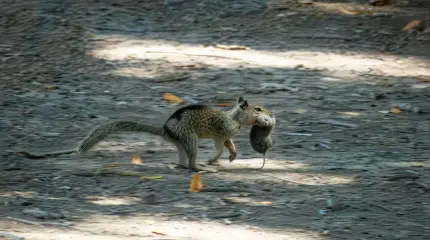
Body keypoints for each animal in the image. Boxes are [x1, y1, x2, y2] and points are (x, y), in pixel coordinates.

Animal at [16, 96, 274, 172]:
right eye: (258, 109)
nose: (271, 113)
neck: (235, 118)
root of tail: (165, 129)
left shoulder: (228, 134)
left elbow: (230, 145)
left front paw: (233, 155)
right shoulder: (220, 132)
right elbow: (220, 145)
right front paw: (215, 159)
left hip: (181, 142)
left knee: (183, 159)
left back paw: (182, 165)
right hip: (190, 139)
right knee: (191, 162)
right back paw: (202, 167)